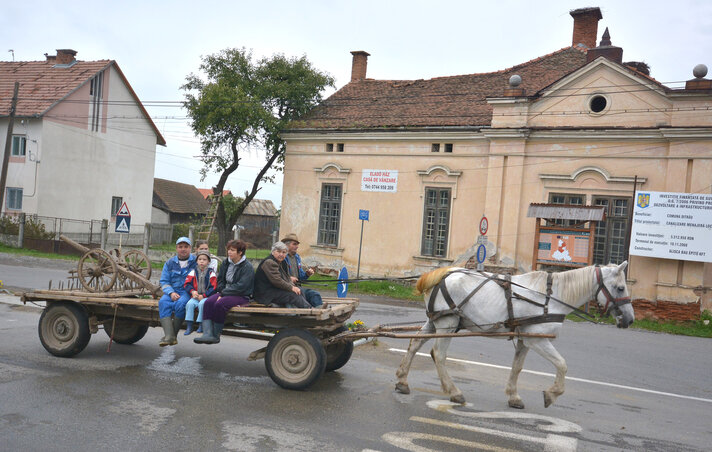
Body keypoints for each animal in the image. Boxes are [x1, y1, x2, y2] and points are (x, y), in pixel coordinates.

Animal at [394, 260, 636, 408]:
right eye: (620, 288)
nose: (629, 319)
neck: (550, 297)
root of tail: (440, 274)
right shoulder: (537, 340)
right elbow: (562, 364)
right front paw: (552, 393)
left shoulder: (525, 341)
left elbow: (517, 367)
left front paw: (513, 396)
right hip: (448, 324)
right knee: (439, 355)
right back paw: (454, 392)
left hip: (434, 322)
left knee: (414, 343)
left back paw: (403, 381)